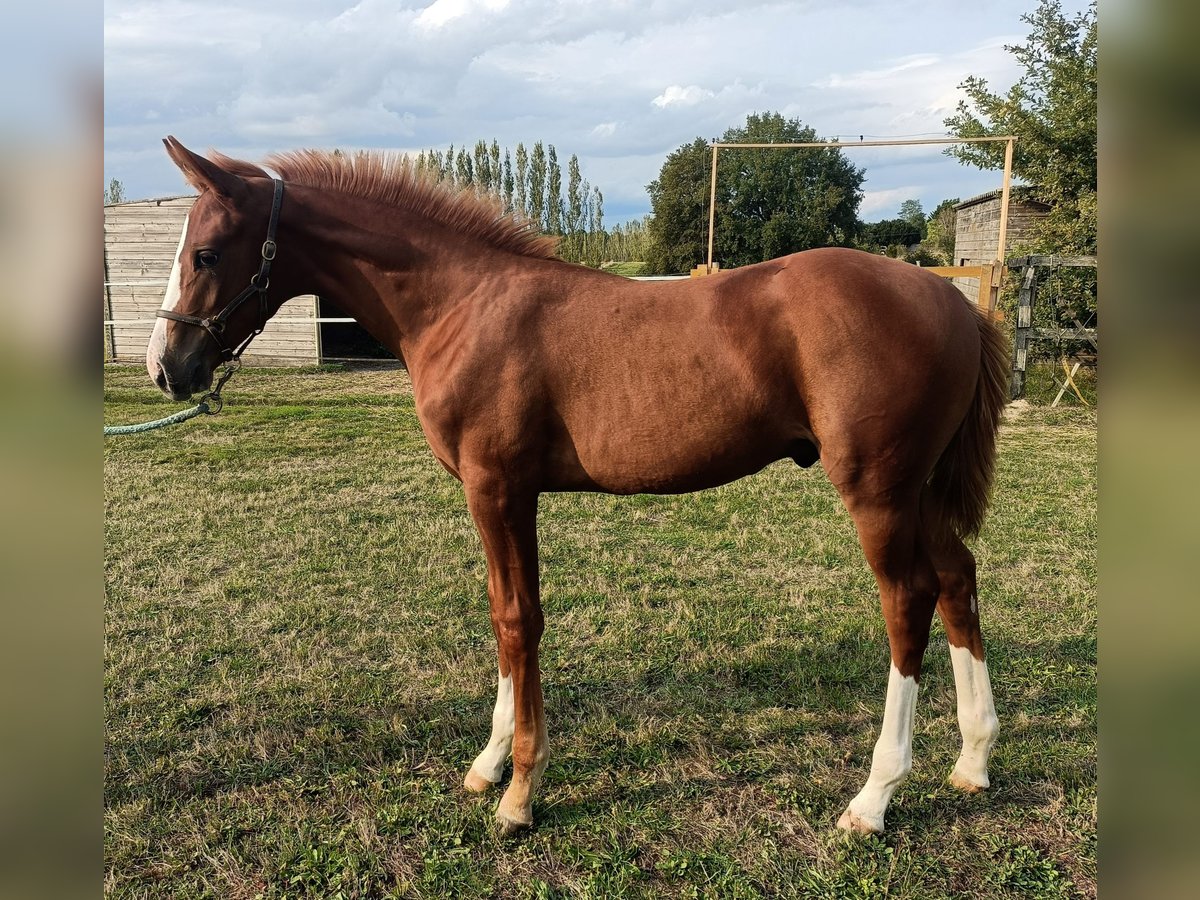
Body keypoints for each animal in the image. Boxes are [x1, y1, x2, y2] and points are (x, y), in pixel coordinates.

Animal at [150, 137, 1012, 844]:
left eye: (207, 253)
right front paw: (490, 763)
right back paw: (972, 760)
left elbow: (517, 621)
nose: (167, 366)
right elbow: (504, 617)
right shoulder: (503, 496)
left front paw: (520, 793)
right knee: (957, 580)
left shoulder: (498, 490)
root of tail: (952, 302)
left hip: (877, 491)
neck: (462, 302)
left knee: (907, 603)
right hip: (917, 491)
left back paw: (874, 797)